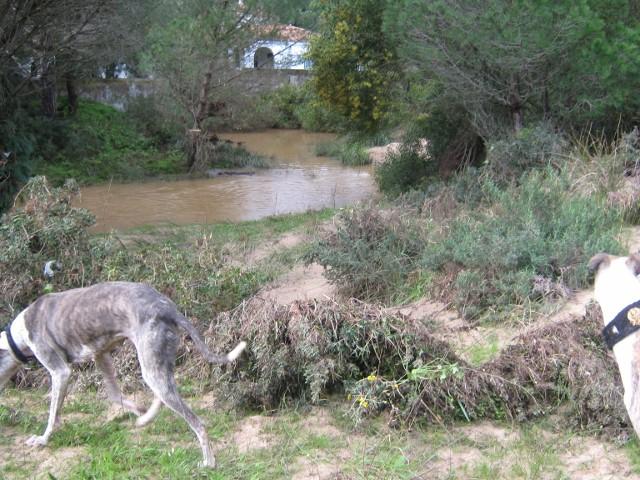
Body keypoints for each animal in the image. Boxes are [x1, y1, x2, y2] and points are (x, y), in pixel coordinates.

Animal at [0, 282, 248, 468]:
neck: (18, 334)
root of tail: (169, 309)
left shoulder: (60, 372)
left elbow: (52, 413)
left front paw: (42, 439)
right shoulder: (101, 356)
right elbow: (112, 395)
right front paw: (136, 410)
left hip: (151, 366)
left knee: (197, 423)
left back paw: (209, 462)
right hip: (156, 365)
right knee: (162, 395)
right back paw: (145, 418)